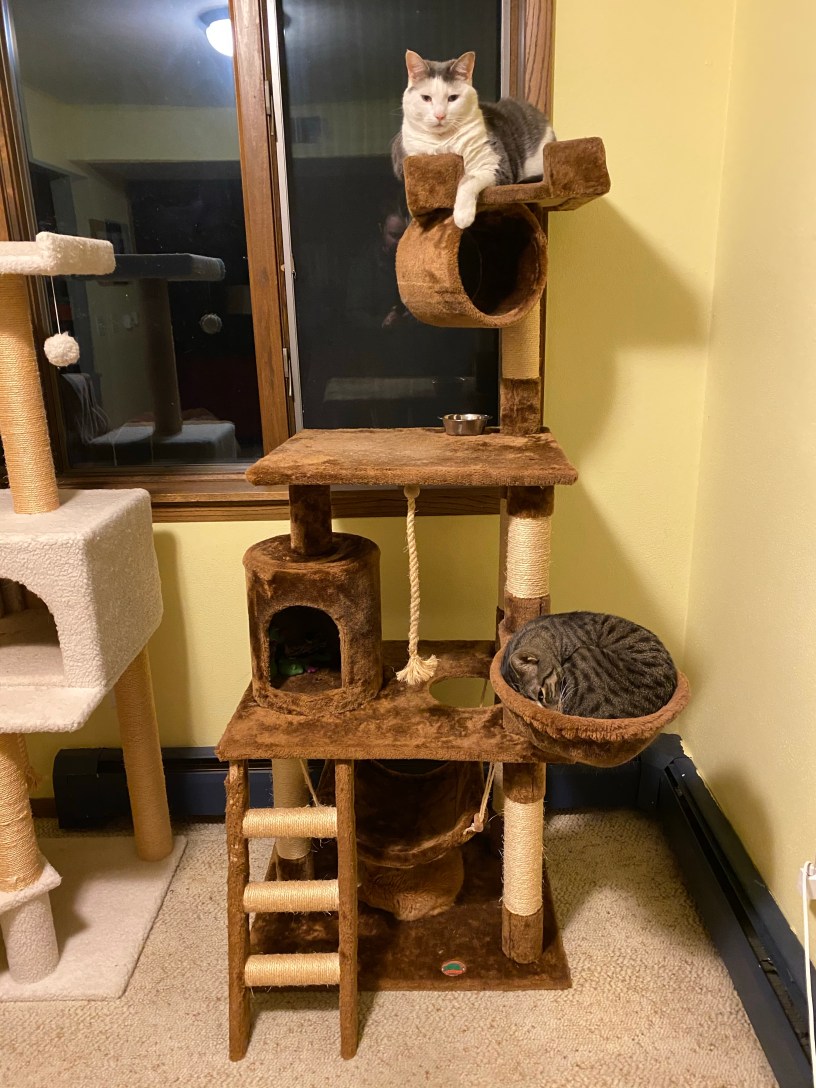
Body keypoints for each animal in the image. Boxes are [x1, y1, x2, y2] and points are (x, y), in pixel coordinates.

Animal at [391, 49, 556, 230]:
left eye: (452, 98)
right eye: (426, 98)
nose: (440, 115)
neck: (443, 142)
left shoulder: (493, 163)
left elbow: (468, 180)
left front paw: (462, 217)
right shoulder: (411, 158)